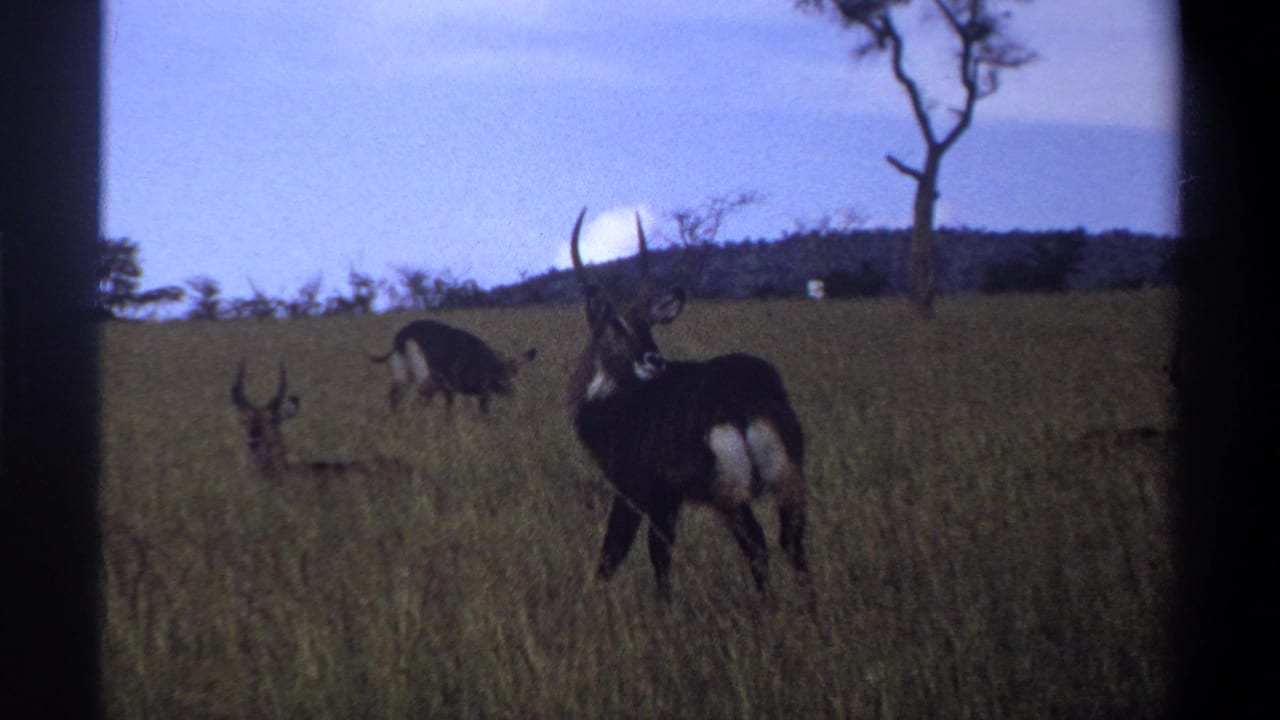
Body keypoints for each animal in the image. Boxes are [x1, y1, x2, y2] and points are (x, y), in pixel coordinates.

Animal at [371, 320, 537, 415]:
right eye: (505, 376)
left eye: (515, 373)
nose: (511, 392)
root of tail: (403, 336)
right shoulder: (482, 392)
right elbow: (483, 412)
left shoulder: (450, 390)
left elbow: (448, 411)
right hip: (427, 380)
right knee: (417, 403)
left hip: (403, 375)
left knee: (395, 398)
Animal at [568, 208, 813, 605]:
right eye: (617, 325)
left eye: (648, 324)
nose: (654, 360)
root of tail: (748, 395)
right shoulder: (668, 499)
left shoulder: (639, 492)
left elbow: (623, 553)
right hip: (789, 480)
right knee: (792, 543)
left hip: (728, 495)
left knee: (756, 544)